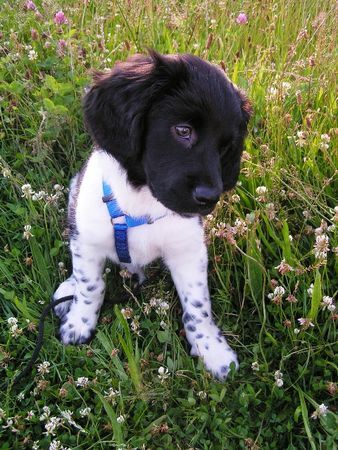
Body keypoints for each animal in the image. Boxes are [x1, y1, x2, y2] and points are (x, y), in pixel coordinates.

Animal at [52, 51, 251, 378]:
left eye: (226, 147)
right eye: (183, 131)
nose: (209, 198)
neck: (142, 204)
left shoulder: (188, 251)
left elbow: (198, 306)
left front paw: (212, 350)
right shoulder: (88, 238)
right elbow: (89, 285)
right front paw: (79, 323)